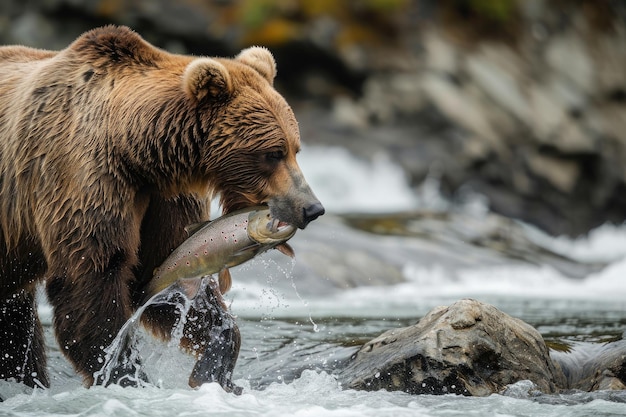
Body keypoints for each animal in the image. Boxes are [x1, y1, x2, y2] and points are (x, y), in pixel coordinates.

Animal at [0, 25, 324, 390]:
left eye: (296, 149)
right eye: (273, 153)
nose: (312, 208)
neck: (137, 152)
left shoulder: (163, 200)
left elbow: (167, 274)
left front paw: (213, 365)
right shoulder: (82, 178)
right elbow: (92, 277)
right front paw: (123, 373)